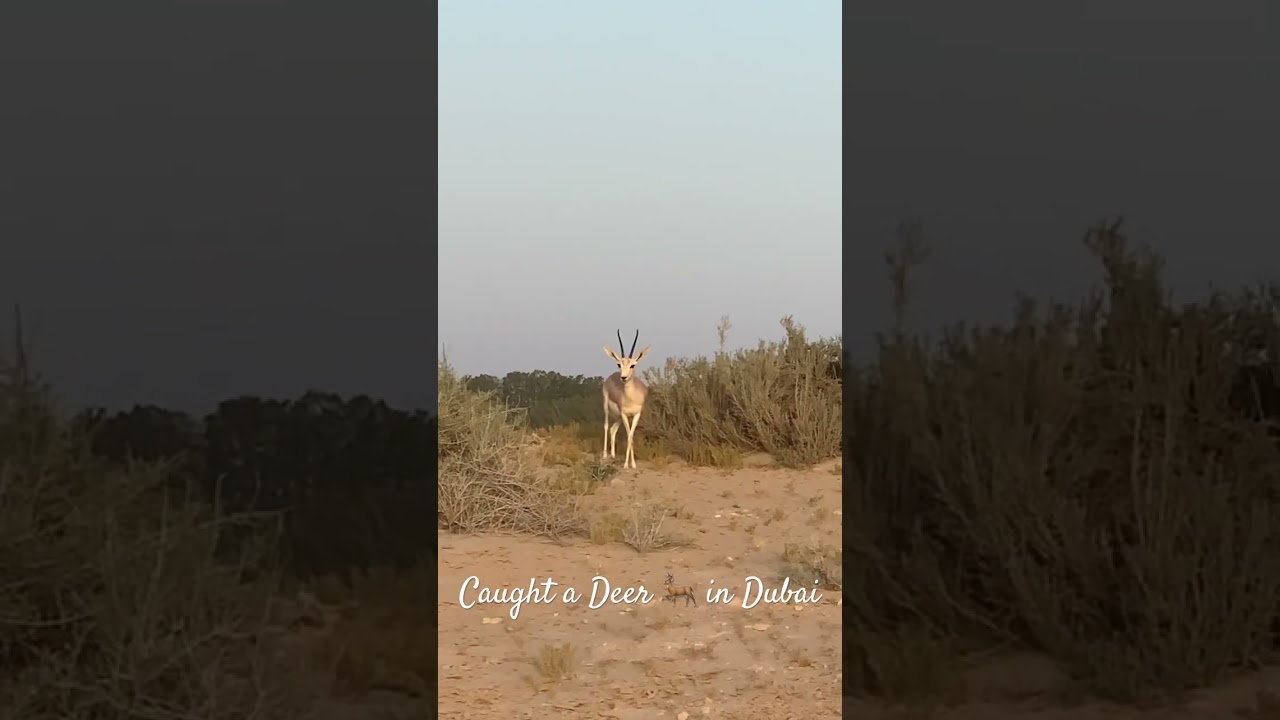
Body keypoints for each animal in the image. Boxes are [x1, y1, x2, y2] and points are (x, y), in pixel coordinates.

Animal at [602, 329, 650, 470]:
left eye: (632, 365)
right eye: (619, 364)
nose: (623, 377)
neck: (631, 397)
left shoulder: (636, 414)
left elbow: (630, 436)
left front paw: (632, 464)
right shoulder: (624, 414)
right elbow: (629, 435)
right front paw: (625, 464)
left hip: (618, 417)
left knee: (613, 430)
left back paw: (613, 455)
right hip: (606, 407)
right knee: (606, 426)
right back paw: (605, 455)